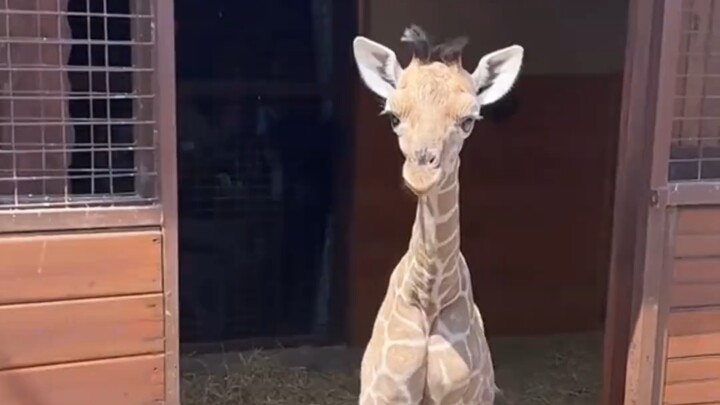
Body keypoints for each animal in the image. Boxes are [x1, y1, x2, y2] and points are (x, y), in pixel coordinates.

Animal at [352, 25, 524, 405]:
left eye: (468, 120)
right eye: (393, 117)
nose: (421, 173)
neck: (430, 297)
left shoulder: (464, 397)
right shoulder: (382, 394)